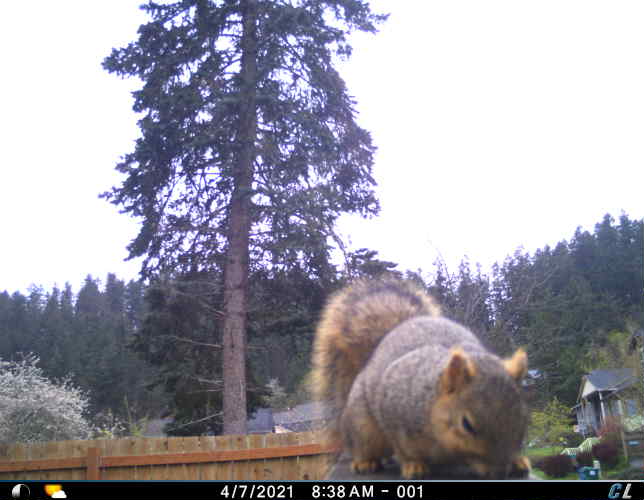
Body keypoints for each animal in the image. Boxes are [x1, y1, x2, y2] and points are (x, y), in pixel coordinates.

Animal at [311, 277, 531, 479]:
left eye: (523, 420)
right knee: (362, 445)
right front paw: (413, 466)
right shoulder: (393, 413)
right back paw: (365, 462)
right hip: (362, 425)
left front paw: (517, 461)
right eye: (467, 424)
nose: (499, 473)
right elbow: (403, 449)